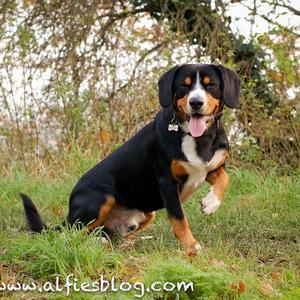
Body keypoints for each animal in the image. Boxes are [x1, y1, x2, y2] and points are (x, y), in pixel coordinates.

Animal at [20, 63, 241, 251]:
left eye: (210, 84)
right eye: (184, 85)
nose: (196, 102)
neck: (201, 138)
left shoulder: (212, 167)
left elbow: (225, 179)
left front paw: (211, 203)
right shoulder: (167, 182)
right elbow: (179, 219)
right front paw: (191, 246)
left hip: (145, 214)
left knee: (109, 235)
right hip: (100, 199)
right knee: (71, 234)